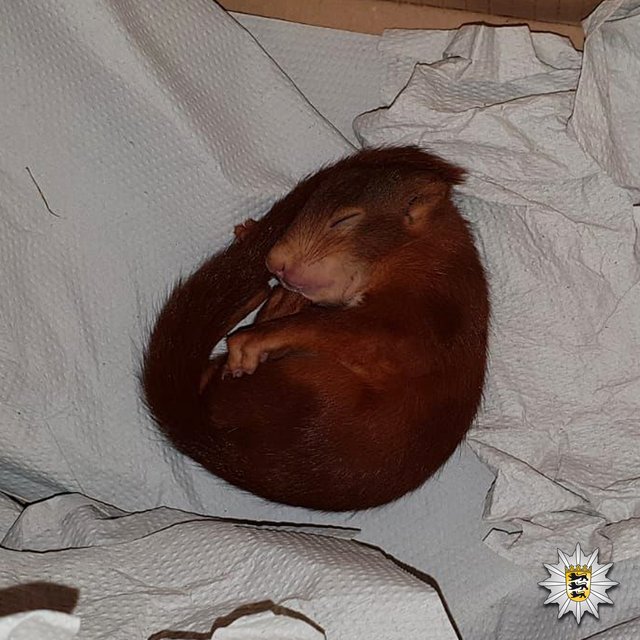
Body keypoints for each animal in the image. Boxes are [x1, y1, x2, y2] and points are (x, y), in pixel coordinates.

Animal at [141, 146, 489, 511]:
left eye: (343, 220)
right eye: (303, 211)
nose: (275, 262)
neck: (428, 260)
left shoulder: (421, 324)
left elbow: (342, 332)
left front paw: (252, 341)